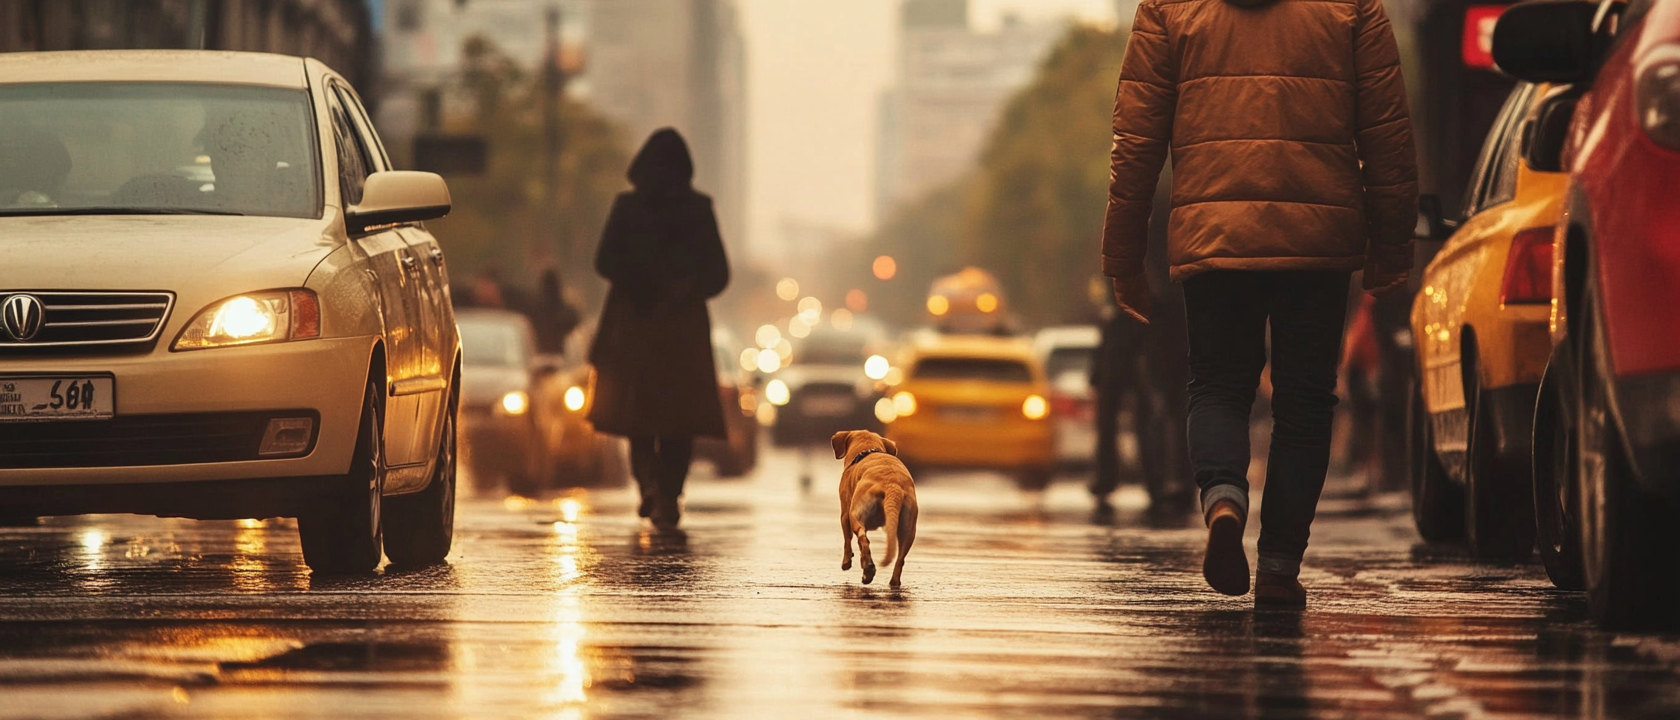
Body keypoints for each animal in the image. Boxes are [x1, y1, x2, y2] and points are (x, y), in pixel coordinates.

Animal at [829, 429, 920, 587]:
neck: (868, 449)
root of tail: (892, 487)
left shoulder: (845, 514)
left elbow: (847, 540)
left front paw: (846, 562)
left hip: (856, 514)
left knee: (863, 539)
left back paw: (868, 570)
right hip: (909, 530)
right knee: (900, 559)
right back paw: (893, 582)